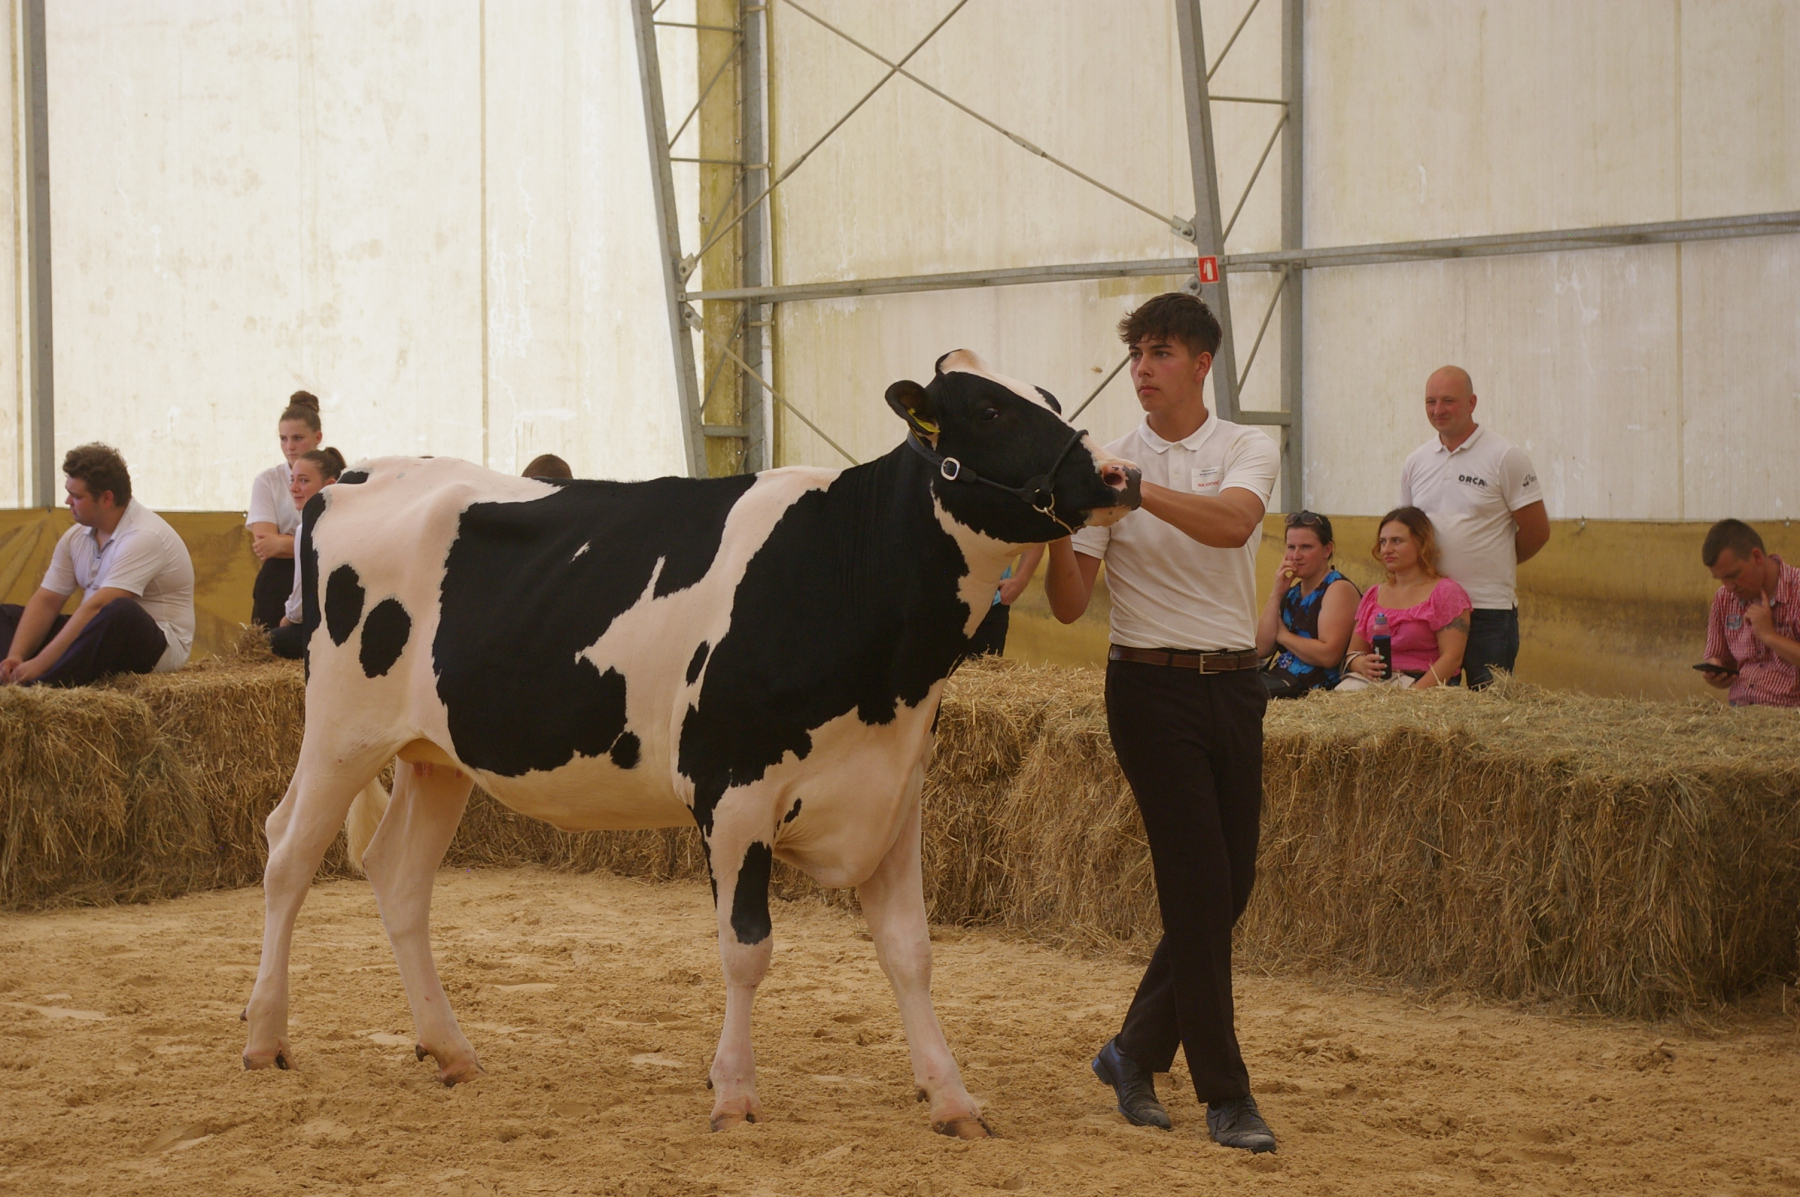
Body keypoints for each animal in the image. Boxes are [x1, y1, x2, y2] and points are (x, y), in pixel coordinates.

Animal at [240, 350, 1142, 1137]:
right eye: (988, 411)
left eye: (1050, 399)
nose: (1118, 476)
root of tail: (351, 477)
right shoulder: (734, 789)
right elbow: (747, 948)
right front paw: (735, 1093)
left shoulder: (894, 792)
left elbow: (911, 951)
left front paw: (952, 1097)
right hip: (341, 731)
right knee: (287, 853)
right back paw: (265, 1035)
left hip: (435, 754)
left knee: (398, 874)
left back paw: (451, 1049)